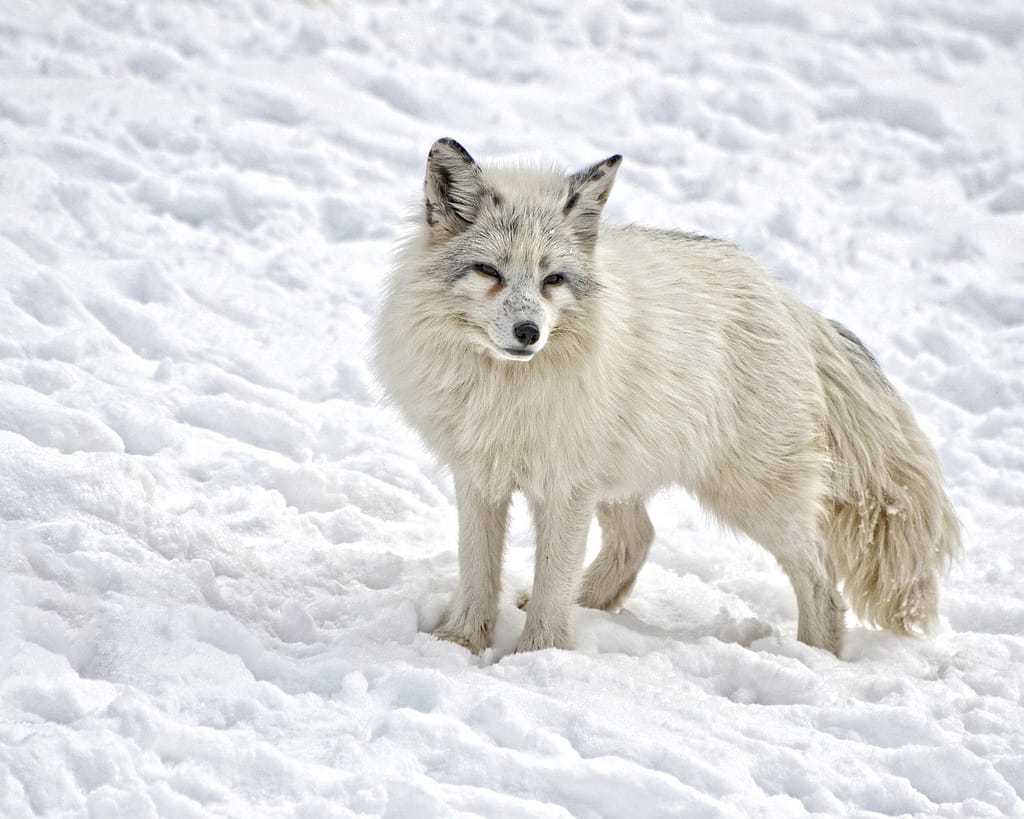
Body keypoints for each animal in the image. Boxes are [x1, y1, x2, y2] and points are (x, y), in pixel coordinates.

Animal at [373, 137, 961, 657]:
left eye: (552, 280)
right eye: (489, 272)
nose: (528, 333)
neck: (506, 391)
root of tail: (786, 300)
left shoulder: (564, 488)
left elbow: (551, 583)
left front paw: (537, 657)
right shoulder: (481, 477)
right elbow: (478, 571)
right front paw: (459, 643)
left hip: (752, 496)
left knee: (821, 581)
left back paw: (814, 659)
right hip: (623, 479)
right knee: (639, 538)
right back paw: (588, 605)